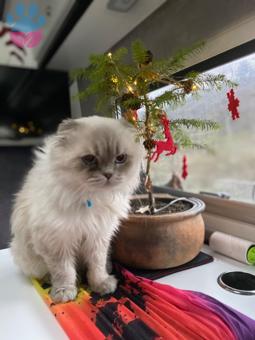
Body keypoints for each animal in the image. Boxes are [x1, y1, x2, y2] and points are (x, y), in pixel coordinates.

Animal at [10, 117, 143, 302]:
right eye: (89, 159)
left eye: (120, 158)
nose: (108, 174)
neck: (91, 198)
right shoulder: (57, 242)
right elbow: (64, 271)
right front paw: (64, 292)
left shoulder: (98, 237)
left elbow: (97, 267)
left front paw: (100, 284)